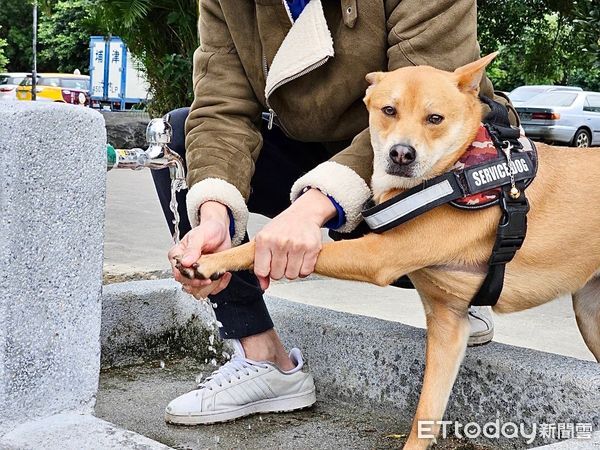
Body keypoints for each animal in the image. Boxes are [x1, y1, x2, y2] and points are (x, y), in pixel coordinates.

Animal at [182, 54, 600, 448]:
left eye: (435, 118)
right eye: (388, 110)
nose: (401, 154)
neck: (458, 170)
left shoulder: (378, 256)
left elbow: (257, 247)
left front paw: (211, 260)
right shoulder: (448, 324)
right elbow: (427, 413)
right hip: (589, 315)